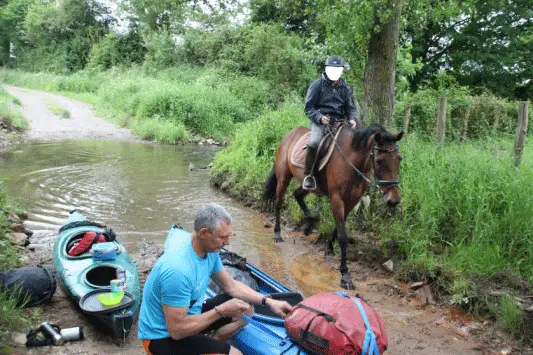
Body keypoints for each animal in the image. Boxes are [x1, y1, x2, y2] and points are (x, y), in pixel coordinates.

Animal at [262, 124, 404, 290]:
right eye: (379, 161)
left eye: (399, 159)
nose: (393, 200)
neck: (351, 161)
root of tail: (289, 135)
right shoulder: (337, 198)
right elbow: (343, 237)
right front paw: (345, 276)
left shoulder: (351, 200)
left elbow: (338, 228)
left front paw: (329, 247)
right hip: (283, 177)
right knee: (278, 203)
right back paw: (277, 234)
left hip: (308, 185)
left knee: (297, 194)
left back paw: (308, 224)